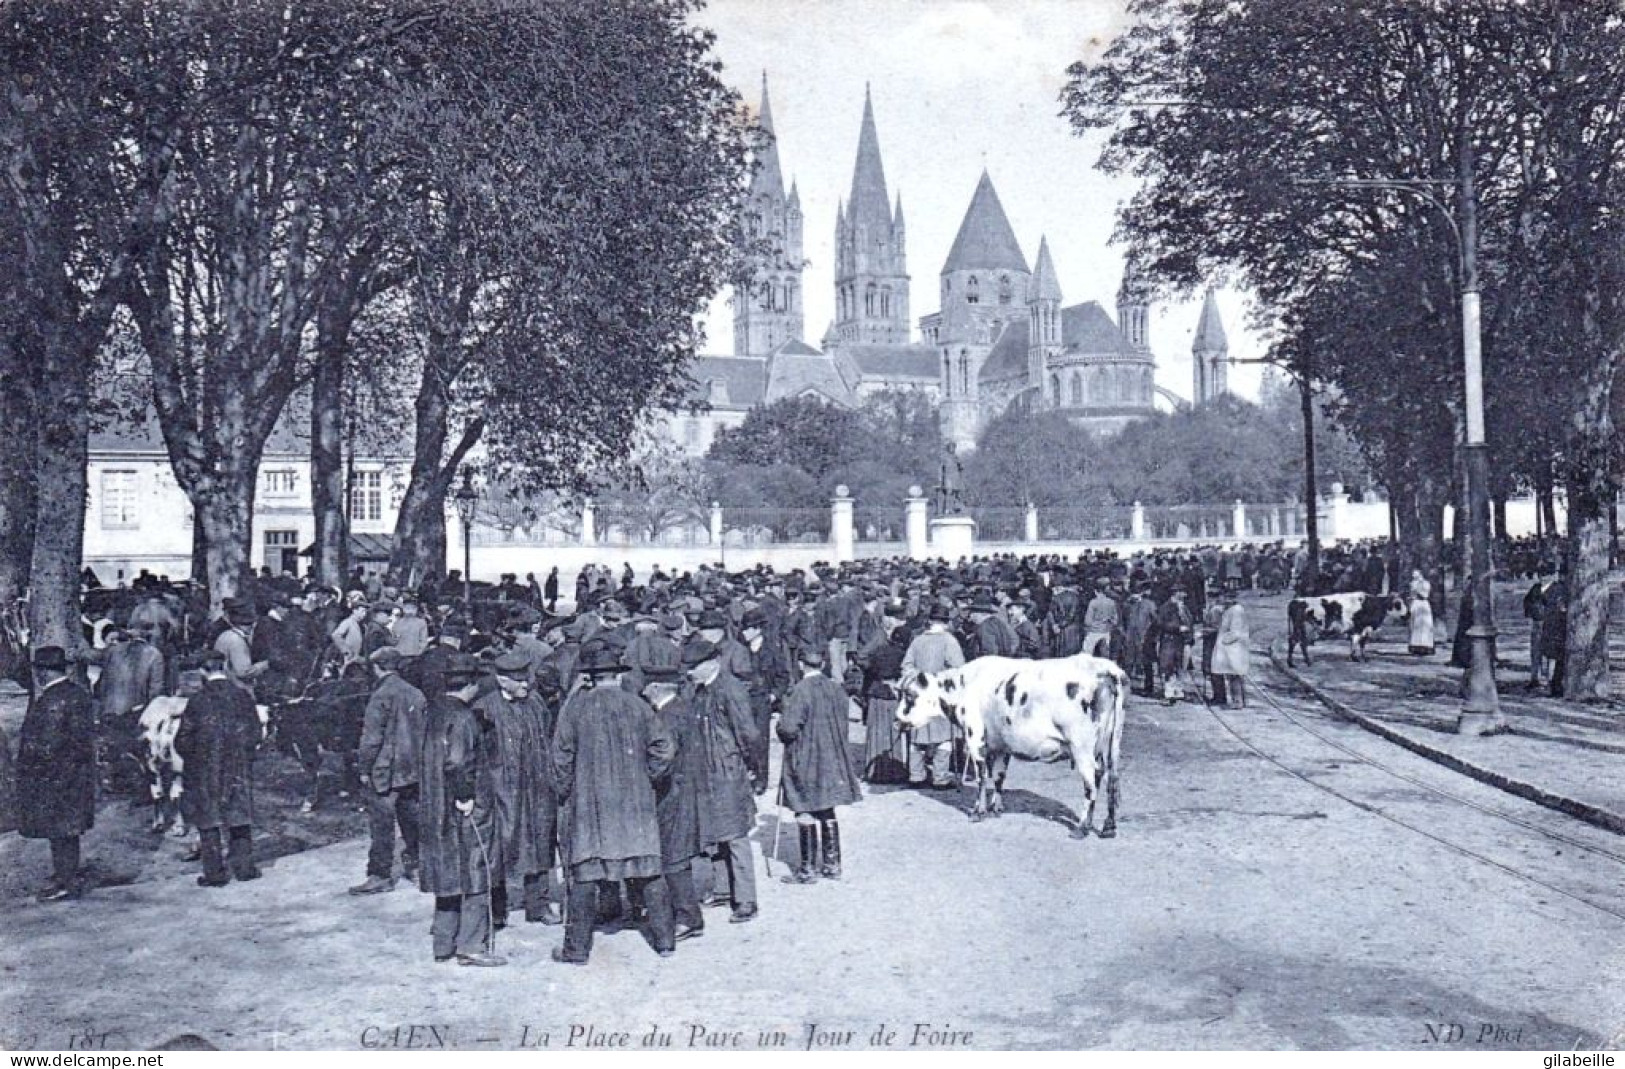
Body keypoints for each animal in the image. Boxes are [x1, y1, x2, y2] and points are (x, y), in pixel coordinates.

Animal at [890, 649, 1131, 838]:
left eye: (910, 695)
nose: (896, 721)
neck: (964, 685)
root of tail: (1106, 668)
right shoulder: (1001, 744)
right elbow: (999, 776)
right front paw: (996, 808)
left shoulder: (975, 737)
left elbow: (982, 778)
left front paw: (978, 812)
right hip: (1108, 744)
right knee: (1108, 777)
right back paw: (1107, 827)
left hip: (1081, 746)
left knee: (1091, 782)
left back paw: (1081, 827)